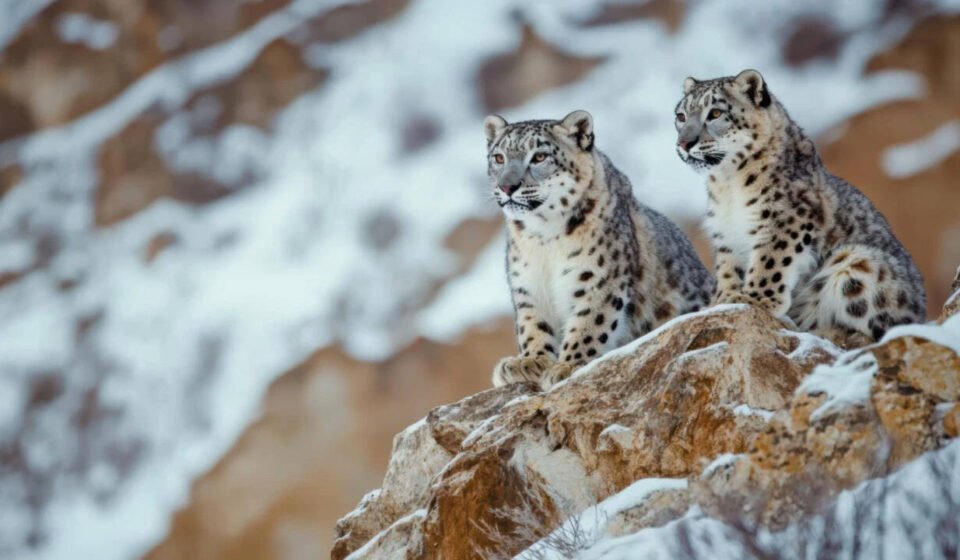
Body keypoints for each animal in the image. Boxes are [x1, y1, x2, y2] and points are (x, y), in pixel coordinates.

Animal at [486, 110, 713, 390]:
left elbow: (589, 322)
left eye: (539, 156)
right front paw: (529, 362)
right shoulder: (527, 285)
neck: (544, 239)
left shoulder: (599, 277)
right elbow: (532, 324)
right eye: (499, 157)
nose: (507, 186)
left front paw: (568, 365)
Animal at [674, 69, 926, 346]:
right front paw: (723, 299)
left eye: (716, 113)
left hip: (860, 261)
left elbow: (769, 262)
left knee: (881, 330)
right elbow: (728, 268)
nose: (684, 143)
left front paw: (755, 299)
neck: (728, 185)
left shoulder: (784, 219)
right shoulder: (725, 233)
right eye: (681, 116)